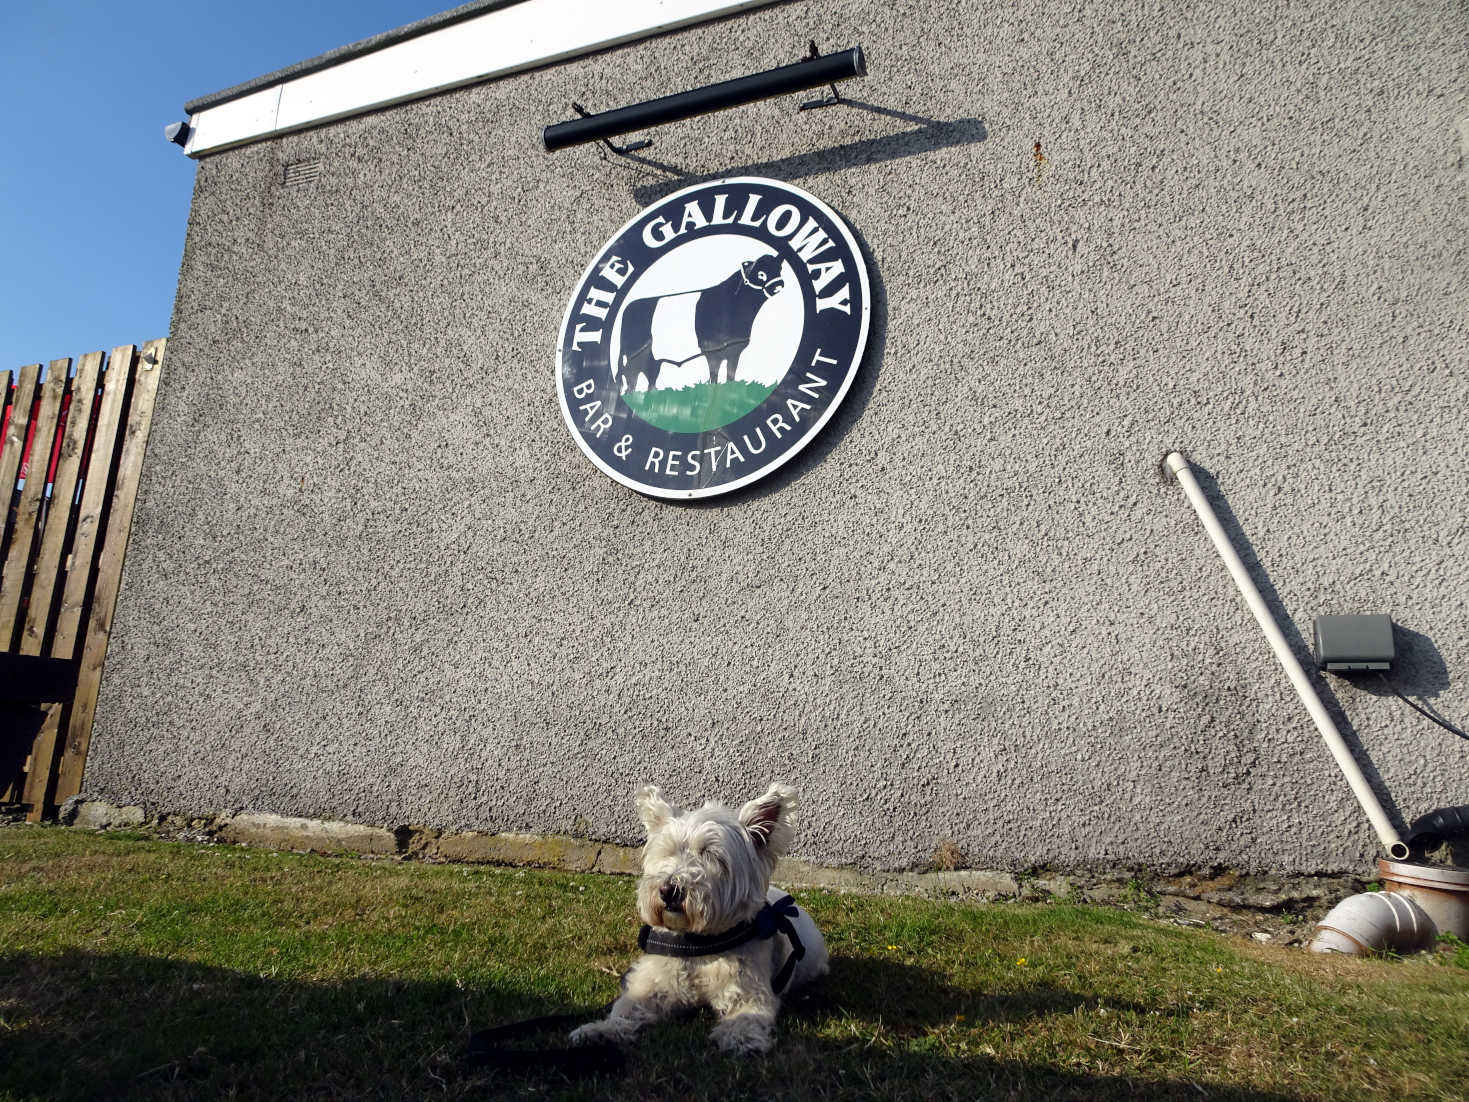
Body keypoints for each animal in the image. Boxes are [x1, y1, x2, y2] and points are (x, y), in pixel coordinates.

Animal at [569, 781, 834, 1057]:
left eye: (710, 854)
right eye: (668, 852)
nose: (668, 890)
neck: (697, 945)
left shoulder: (747, 989)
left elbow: (748, 1014)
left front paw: (741, 1037)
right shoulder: (652, 985)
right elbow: (628, 1009)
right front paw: (599, 1031)